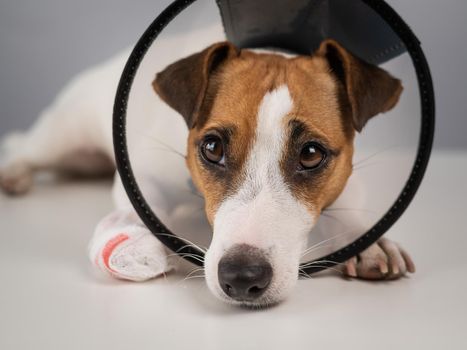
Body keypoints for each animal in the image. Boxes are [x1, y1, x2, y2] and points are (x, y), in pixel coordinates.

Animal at [0, 32, 416, 306]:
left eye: (312, 154)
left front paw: (368, 243)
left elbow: (349, 209)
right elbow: (138, 205)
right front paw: (131, 240)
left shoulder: (348, 177)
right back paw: (13, 173)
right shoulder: (145, 172)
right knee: (23, 143)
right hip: (63, 135)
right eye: (212, 147)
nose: (242, 277)